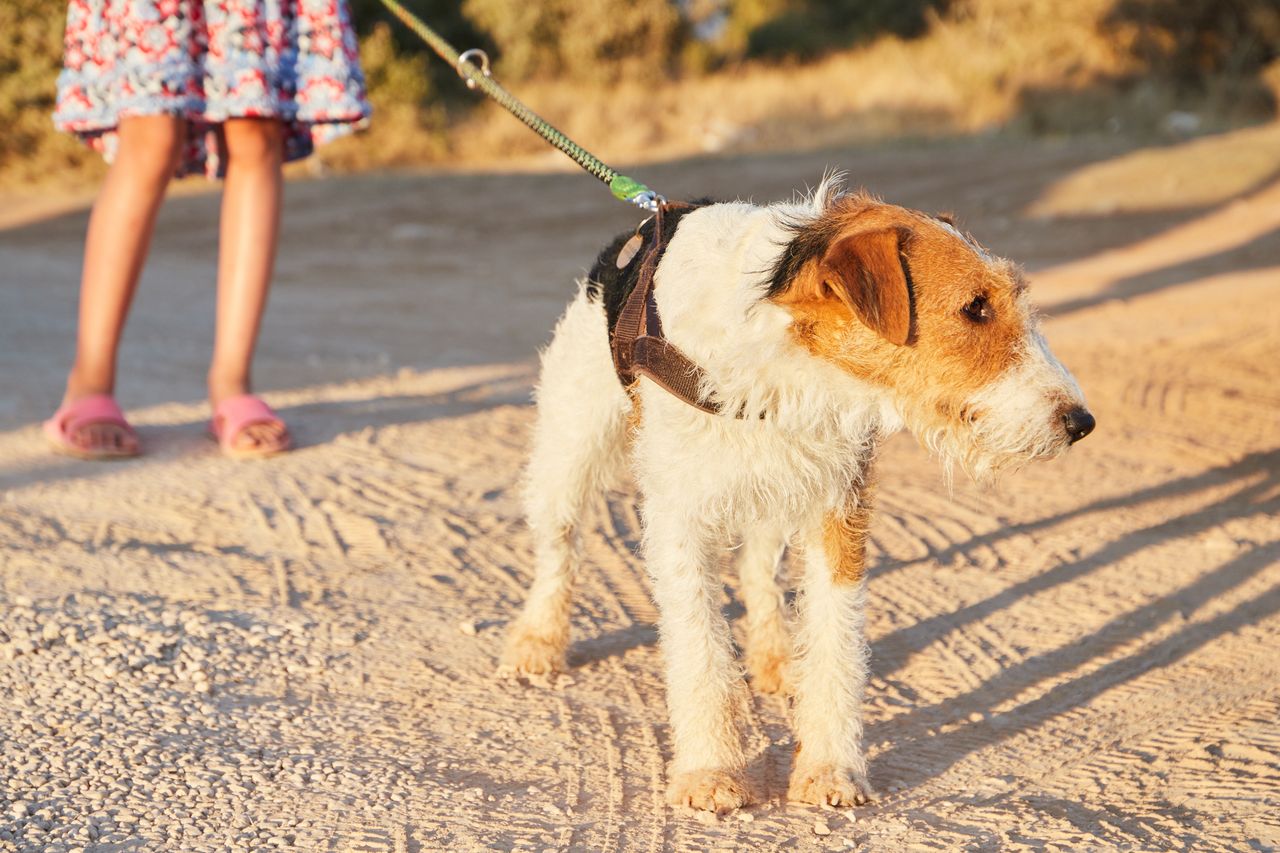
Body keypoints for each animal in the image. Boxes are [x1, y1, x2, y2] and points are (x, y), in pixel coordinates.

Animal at [494, 178, 1095, 809]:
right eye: (975, 307)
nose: (1080, 422)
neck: (789, 362)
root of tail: (634, 231)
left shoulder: (839, 509)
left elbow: (837, 641)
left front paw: (830, 769)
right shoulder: (680, 517)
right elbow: (699, 648)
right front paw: (710, 772)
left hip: (775, 489)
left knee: (758, 572)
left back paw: (778, 658)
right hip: (570, 451)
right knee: (558, 549)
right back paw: (536, 642)